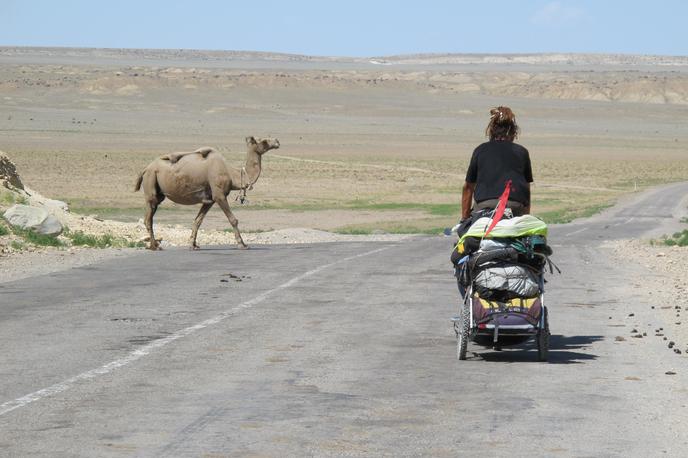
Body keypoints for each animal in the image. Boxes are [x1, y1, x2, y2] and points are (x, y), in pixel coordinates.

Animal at [134, 136, 280, 250]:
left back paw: (154, 245)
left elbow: (198, 220)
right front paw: (242, 244)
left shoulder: (210, 199)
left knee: (150, 216)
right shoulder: (219, 195)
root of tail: (145, 169)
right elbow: (233, 219)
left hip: (157, 190)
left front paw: (193, 245)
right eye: (264, 141)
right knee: (148, 218)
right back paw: (155, 246)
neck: (232, 174)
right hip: (151, 183)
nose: (277, 141)